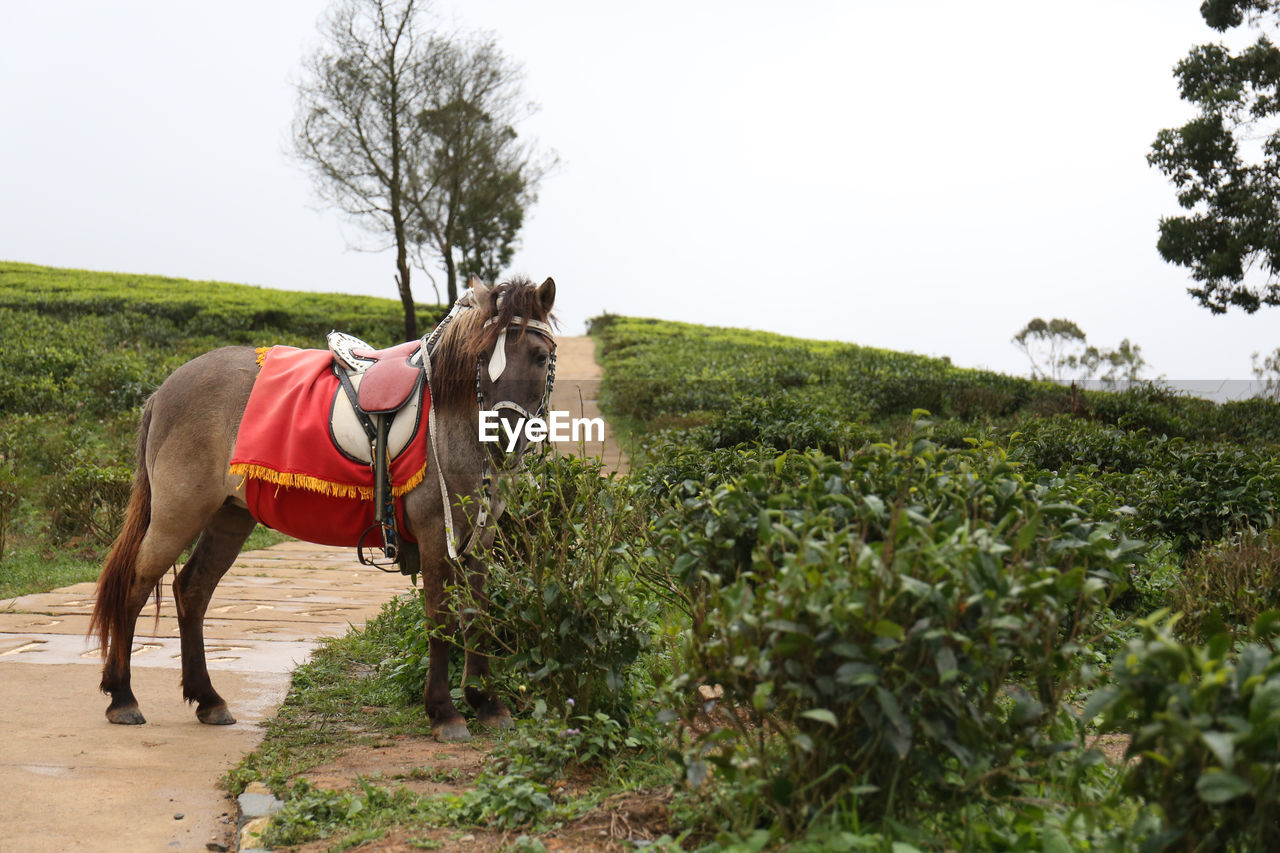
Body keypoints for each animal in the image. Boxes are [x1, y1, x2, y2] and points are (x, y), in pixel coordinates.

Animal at [85, 274, 555, 737]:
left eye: (538, 356)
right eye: (483, 356)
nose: (505, 434)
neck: (451, 418)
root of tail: (163, 390)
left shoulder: (479, 537)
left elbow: (478, 616)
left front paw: (486, 702)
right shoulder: (434, 533)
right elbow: (439, 617)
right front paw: (444, 711)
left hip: (229, 516)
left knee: (192, 589)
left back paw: (207, 698)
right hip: (177, 514)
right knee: (135, 584)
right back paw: (122, 697)